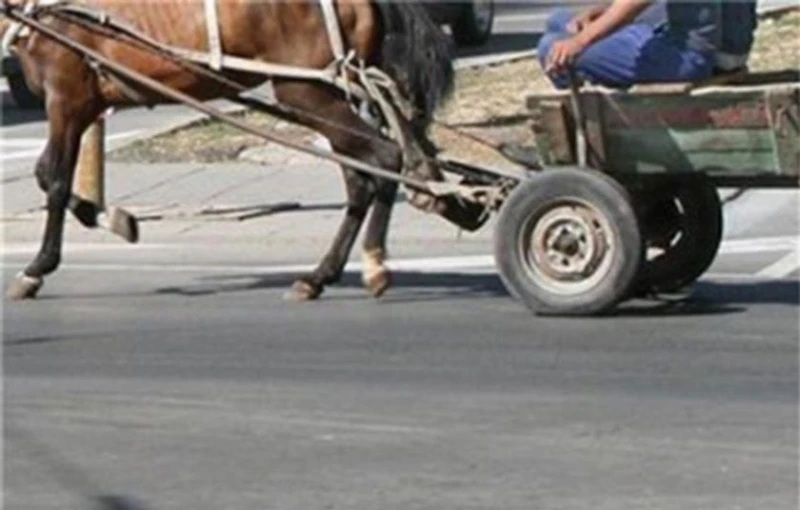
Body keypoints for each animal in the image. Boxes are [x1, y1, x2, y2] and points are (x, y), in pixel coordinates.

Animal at [0, 0, 482, 300]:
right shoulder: (83, 104)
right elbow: (48, 176)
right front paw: (109, 217)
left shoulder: (66, 99)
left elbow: (54, 180)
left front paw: (37, 267)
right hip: (325, 95)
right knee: (360, 177)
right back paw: (319, 276)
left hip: (305, 91)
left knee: (383, 158)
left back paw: (374, 263)